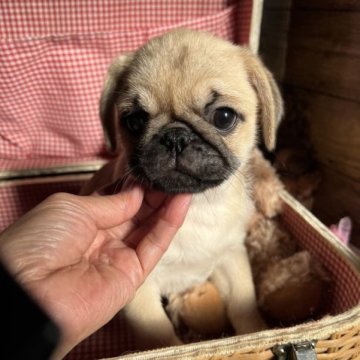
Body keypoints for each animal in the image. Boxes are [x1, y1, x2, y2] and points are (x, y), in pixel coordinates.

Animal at [83, 28, 282, 348]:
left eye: (223, 117)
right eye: (135, 121)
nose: (175, 137)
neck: (197, 206)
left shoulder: (231, 257)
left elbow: (244, 304)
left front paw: (256, 333)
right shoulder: (141, 293)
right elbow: (162, 335)